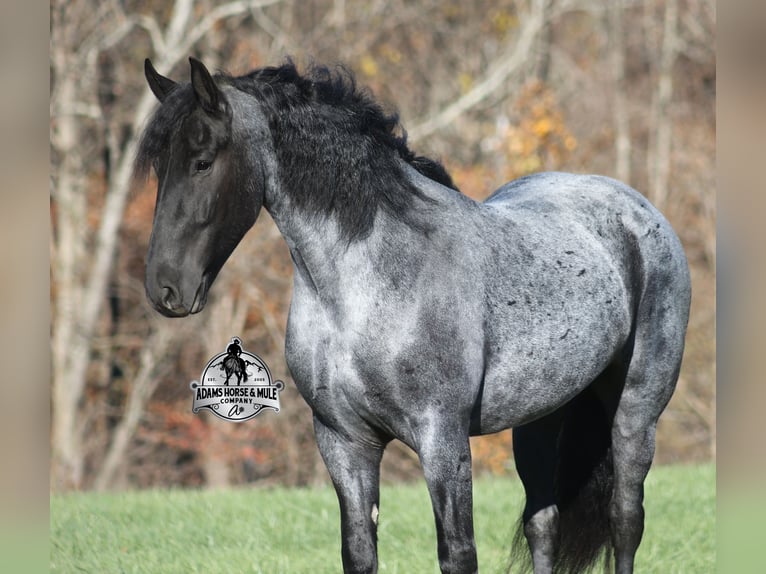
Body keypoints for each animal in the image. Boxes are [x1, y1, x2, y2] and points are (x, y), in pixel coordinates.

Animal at [135, 57, 691, 574]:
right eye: (161, 167)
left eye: (203, 161)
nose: (165, 289)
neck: (366, 287)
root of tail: (638, 212)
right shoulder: (344, 441)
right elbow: (360, 552)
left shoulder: (441, 438)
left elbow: (457, 553)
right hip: (540, 418)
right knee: (543, 524)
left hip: (635, 412)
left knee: (625, 519)